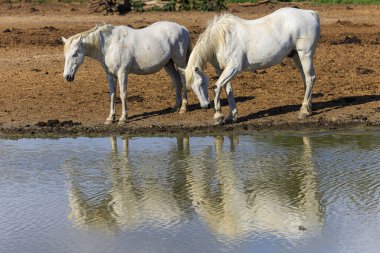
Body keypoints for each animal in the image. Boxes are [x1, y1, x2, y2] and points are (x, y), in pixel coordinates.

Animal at [64, 22, 193, 124]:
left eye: (74, 54)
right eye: (65, 55)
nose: (67, 77)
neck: (110, 45)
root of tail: (182, 28)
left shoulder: (122, 73)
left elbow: (122, 94)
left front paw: (123, 118)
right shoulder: (110, 75)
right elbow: (112, 94)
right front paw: (110, 118)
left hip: (180, 63)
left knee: (183, 80)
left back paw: (183, 108)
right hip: (168, 64)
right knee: (176, 81)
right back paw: (176, 107)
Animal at [179, 8, 320, 125]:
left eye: (202, 83)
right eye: (191, 87)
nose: (205, 106)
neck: (221, 39)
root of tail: (310, 13)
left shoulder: (233, 68)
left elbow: (217, 87)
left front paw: (218, 116)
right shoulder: (221, 70)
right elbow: (228, 90)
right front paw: (231, 116)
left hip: (305, 54)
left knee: (310, 78)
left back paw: (303, 111)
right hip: (296, 56)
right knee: (305, 79)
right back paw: (308, 109)